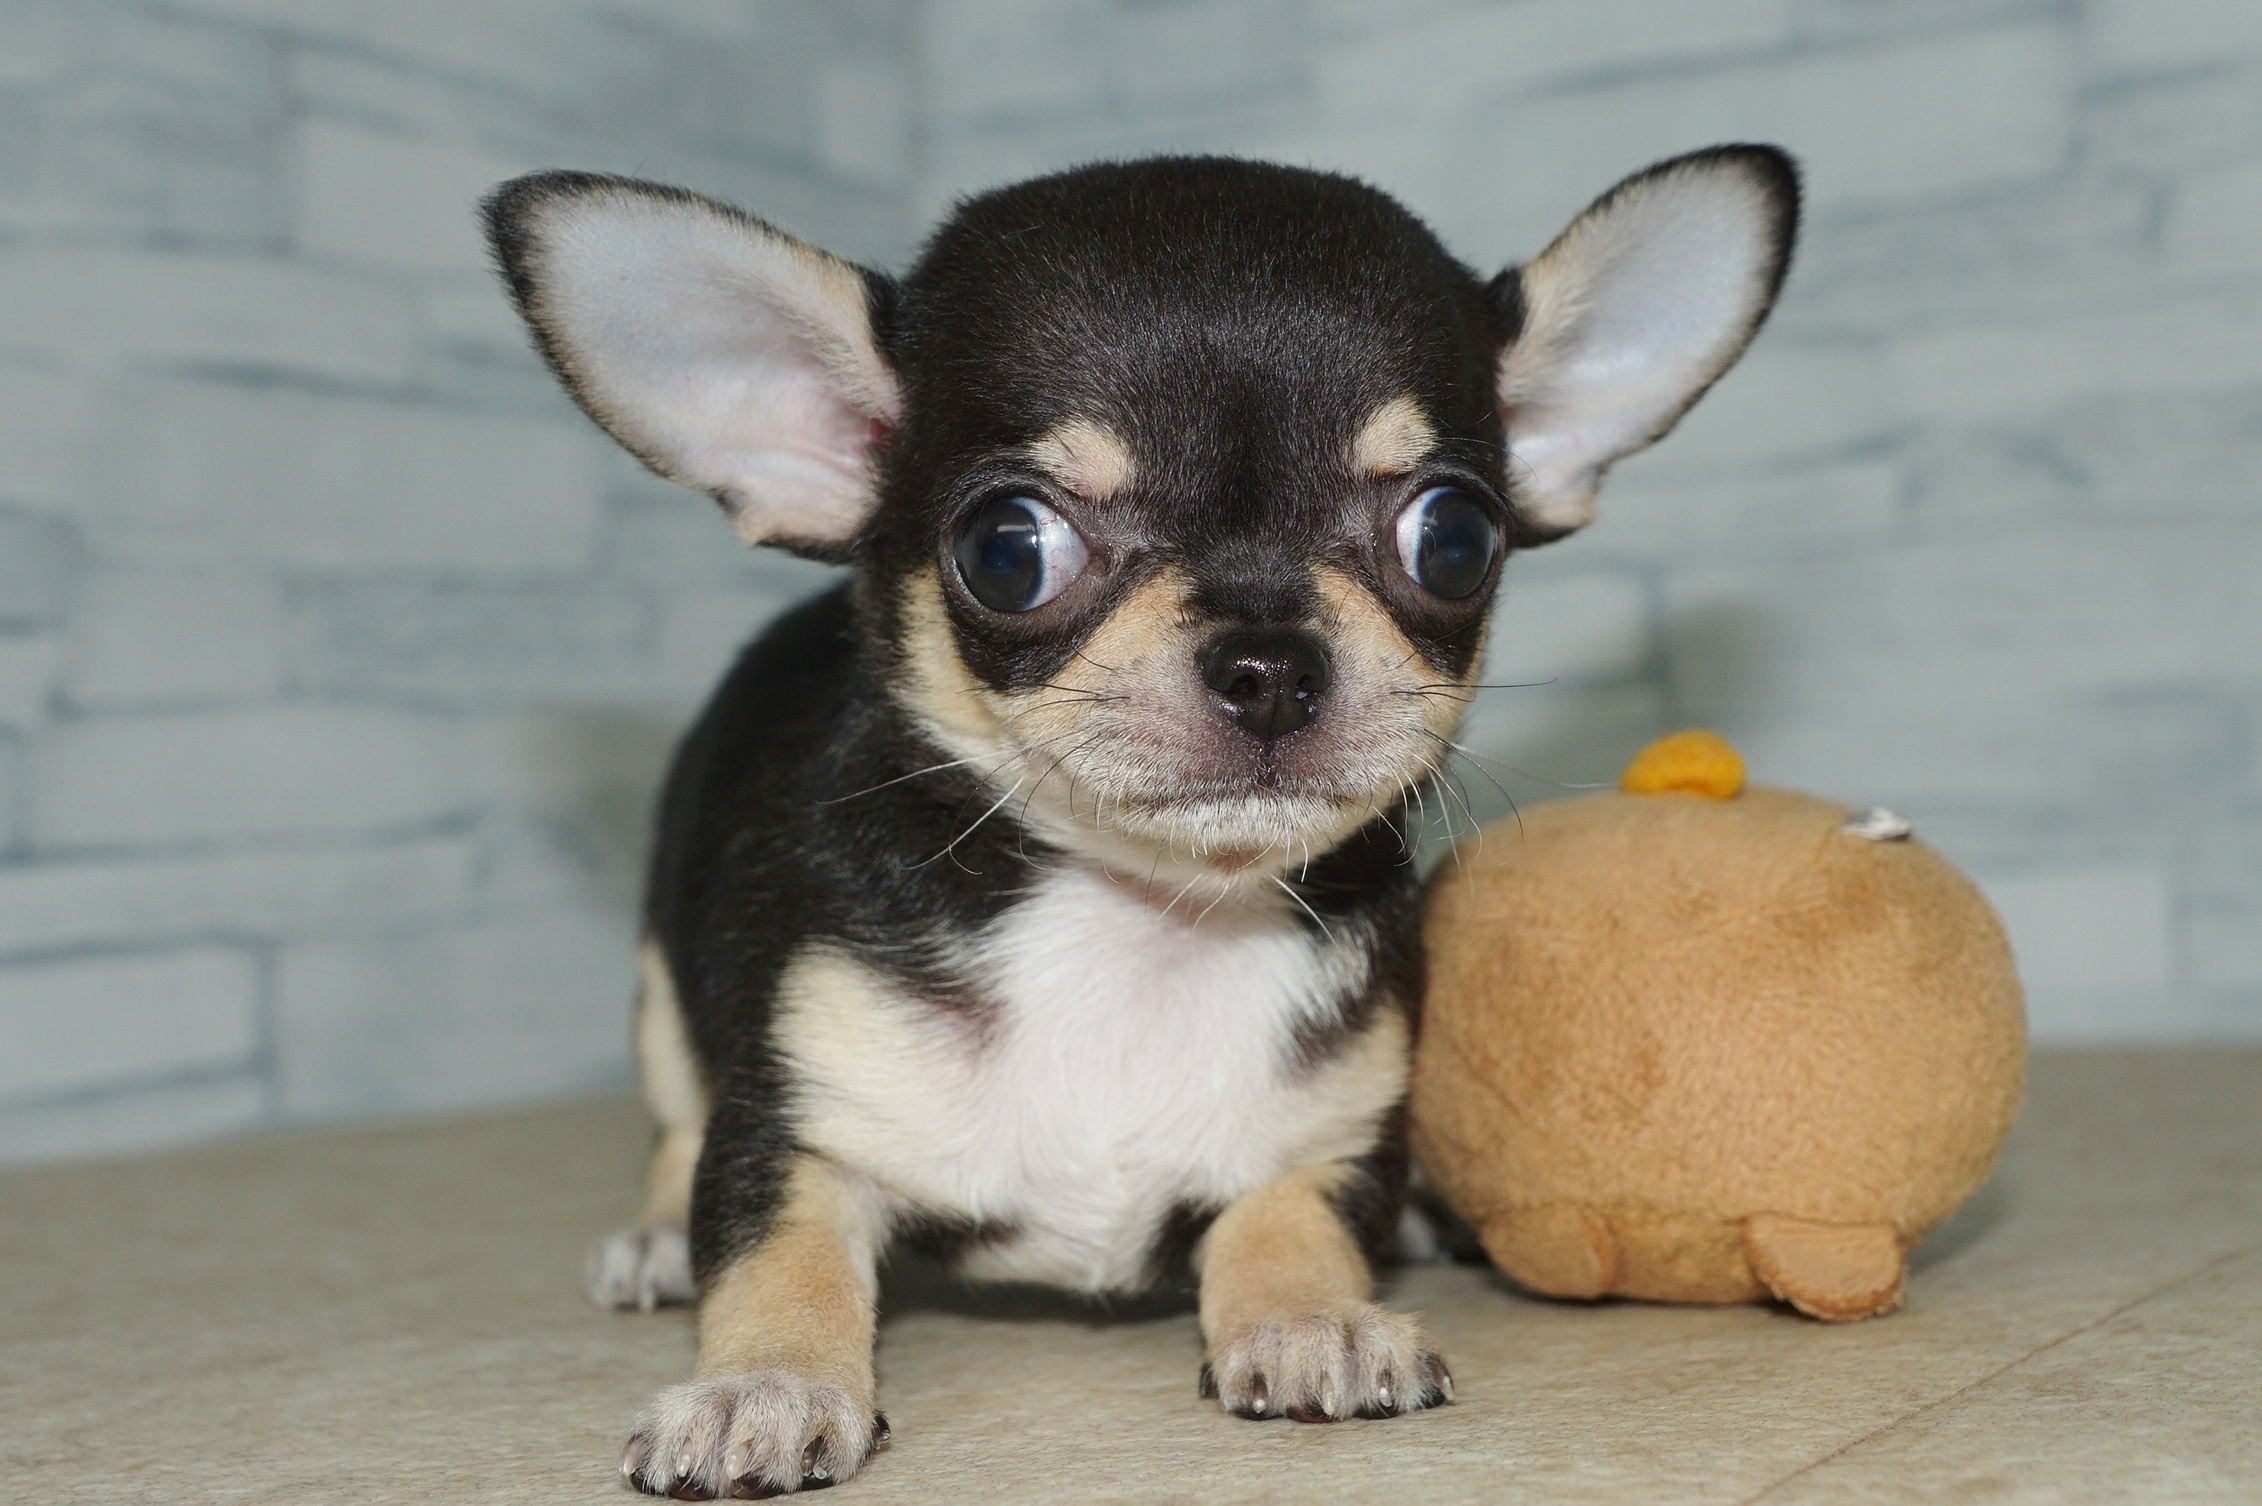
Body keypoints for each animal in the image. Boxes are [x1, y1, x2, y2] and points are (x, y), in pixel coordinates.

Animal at [481, 143, 1800, 1492]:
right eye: (1008, 549)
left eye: (1455, 537)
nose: (1270, 662)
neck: (1146, 918)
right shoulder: (797, 1122)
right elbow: (773, 1248)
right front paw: (764, 1383)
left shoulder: (1329, 1138)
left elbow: (1289, 1214)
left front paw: (1309, 1316)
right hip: (662, 992)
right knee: (673, 1129)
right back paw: (651, 1240)